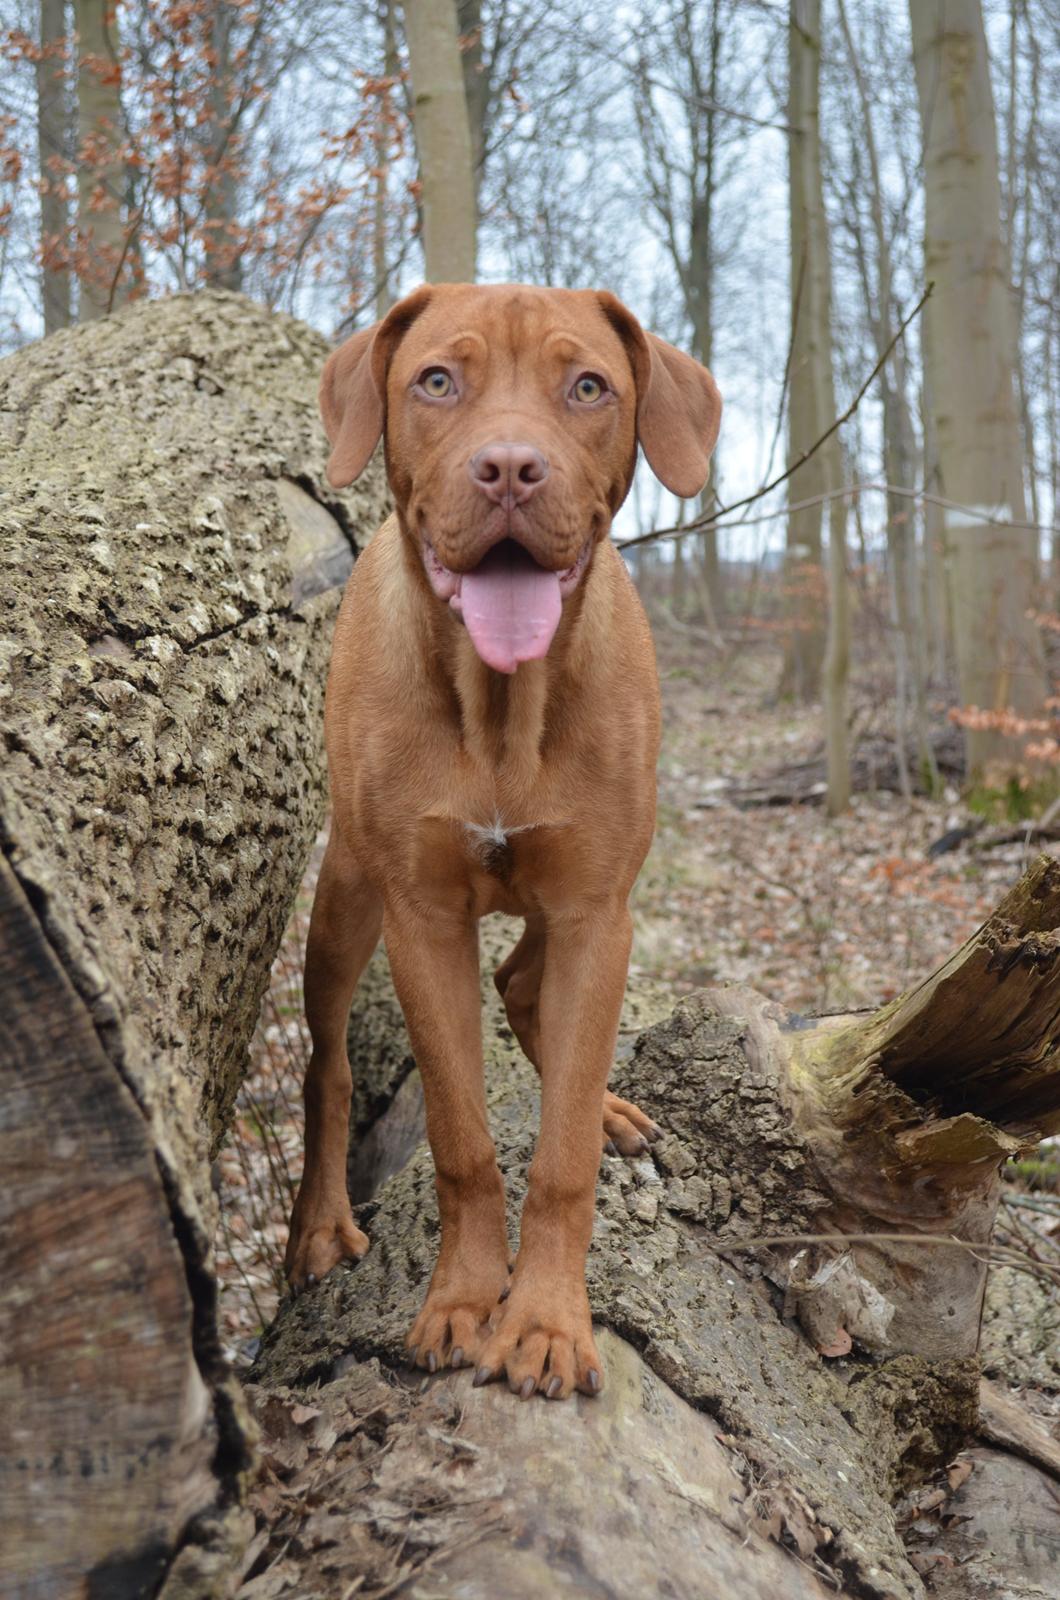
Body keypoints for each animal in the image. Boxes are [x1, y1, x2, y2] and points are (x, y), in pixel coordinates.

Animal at [285, 284, 723, 1401]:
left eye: (590, 387)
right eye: (438, 379)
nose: (512, 468)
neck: (500, 702)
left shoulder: (595, 908)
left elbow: (560, 1153)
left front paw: (546, 1321)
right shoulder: (422, 919)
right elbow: (461, 1142)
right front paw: (462, 1300)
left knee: (529, 984)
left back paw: (603, 1101)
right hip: (346, 899)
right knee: (327, 1067)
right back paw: (320, 1226)